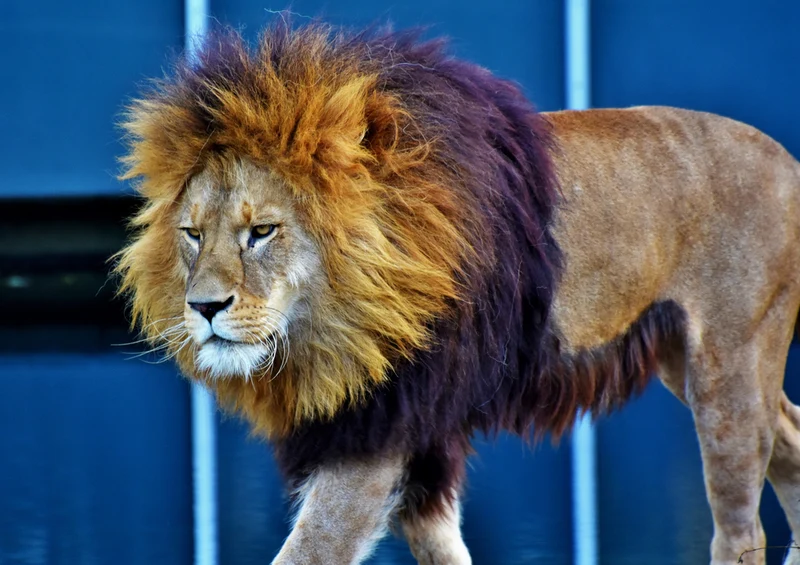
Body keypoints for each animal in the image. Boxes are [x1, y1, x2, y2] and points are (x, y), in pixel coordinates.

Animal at [116, 22, 800, 565]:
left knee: (741, 528)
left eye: (261, 232)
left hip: (727, 369)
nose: (204, 308)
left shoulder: (376, 428)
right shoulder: (414, 432)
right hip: (687, 362)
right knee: (791, 437)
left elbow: (309, 551)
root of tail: (786, 159)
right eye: (192, 235)